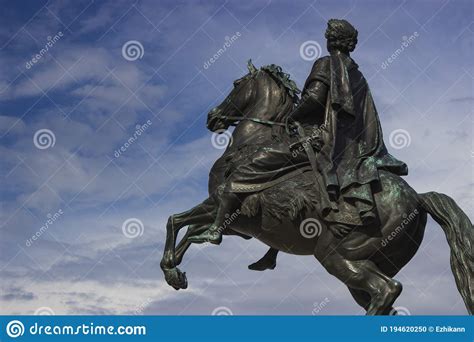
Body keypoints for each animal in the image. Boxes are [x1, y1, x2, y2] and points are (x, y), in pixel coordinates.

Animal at [160, 60, 474, 314]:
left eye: (237, 84)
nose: (212, 116)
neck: (252, 143)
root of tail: (417, 198)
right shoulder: (238, 226)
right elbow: (187, 228)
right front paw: (176, 273)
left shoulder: (222, 204)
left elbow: (176, 221)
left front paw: (173, 265)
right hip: (368, 261)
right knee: (385, 299)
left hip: (337, 255)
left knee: (387, 290)